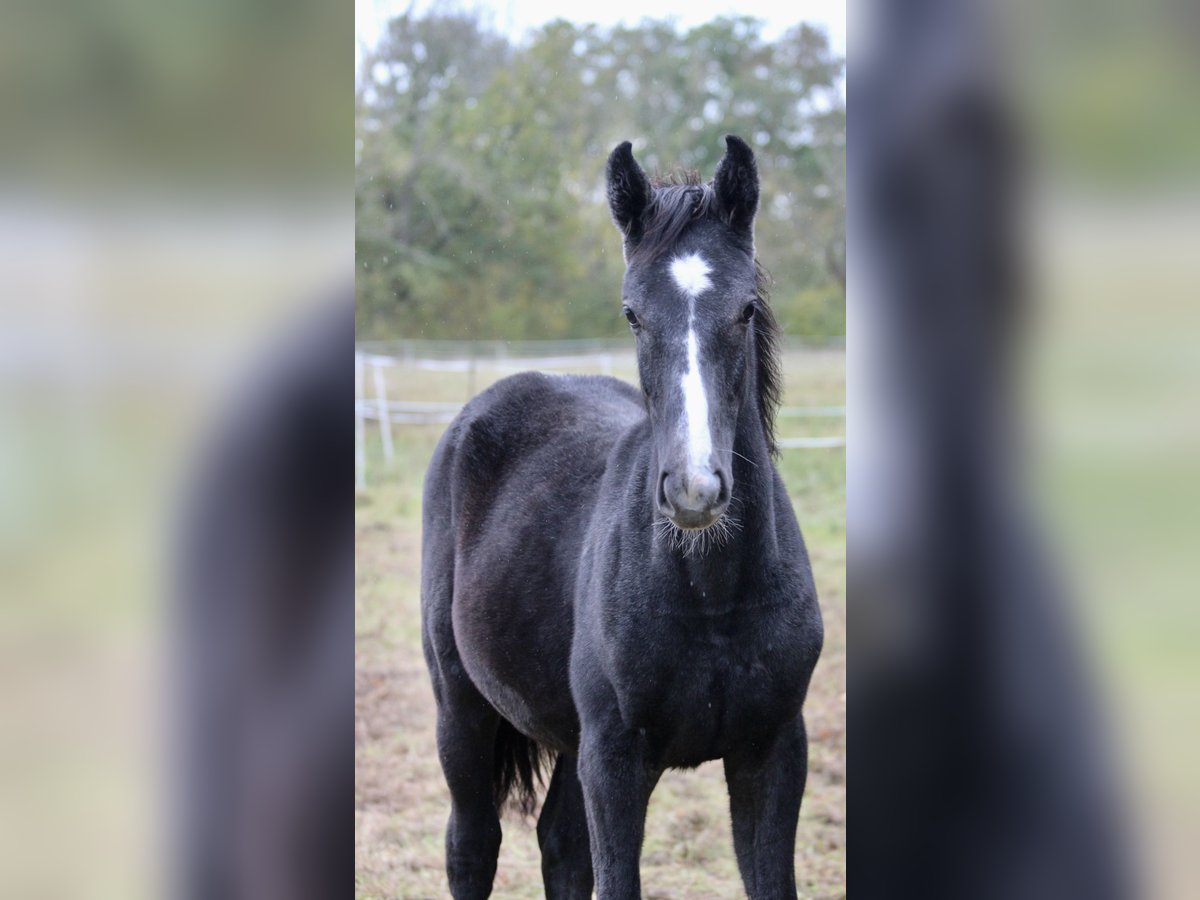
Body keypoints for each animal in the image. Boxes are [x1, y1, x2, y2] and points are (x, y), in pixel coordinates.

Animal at [420, 135, 823, 899]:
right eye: (633, 313)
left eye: (746, 309)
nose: (695, 491)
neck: (712, 598)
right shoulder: (614, 761)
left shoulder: (773, 750)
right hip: (461, 707)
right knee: (471, 846)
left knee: (559, 847)